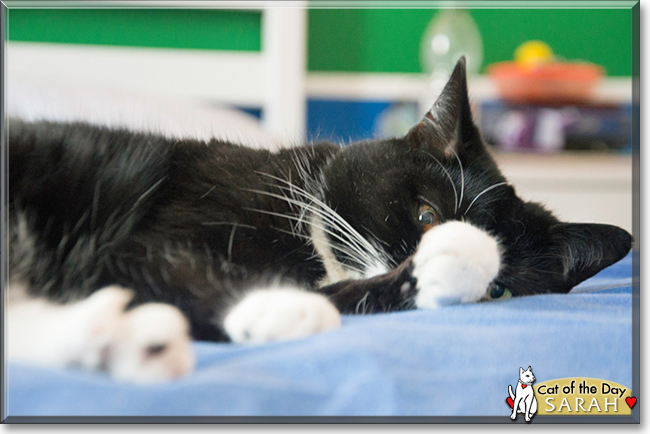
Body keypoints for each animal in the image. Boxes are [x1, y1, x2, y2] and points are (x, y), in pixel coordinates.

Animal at [5, 58, 632, 384]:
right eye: (426, 215)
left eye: (501, 291)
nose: (440, 249)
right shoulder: (148, 235)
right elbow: (166, 263)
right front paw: (279, 307)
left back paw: (125, 341)